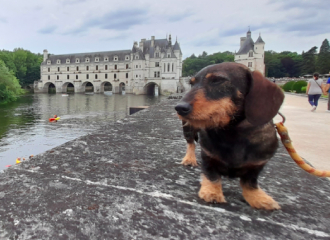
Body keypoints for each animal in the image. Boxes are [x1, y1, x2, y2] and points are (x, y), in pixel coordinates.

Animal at [174, 62, 284, 210]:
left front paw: (259, 198)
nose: (180, 107)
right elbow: (211, 174)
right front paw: (212, 192)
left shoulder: (258, 164)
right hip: (188, 129)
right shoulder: (208, 155)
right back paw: (189, 159)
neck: (232, 132)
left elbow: (251, 182)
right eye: (192, 84)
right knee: (190, 143)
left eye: (217, 80)